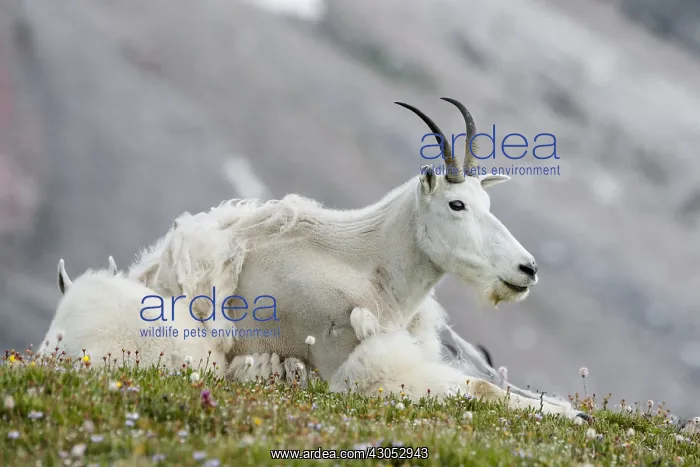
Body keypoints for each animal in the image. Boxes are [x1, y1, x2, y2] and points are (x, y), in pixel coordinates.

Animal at [128, 97, 587, 420]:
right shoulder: (355, 367)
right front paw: (577, 420)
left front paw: (571, 412)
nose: (527, 269)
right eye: (457, 204)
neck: (369, 266)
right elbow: (481, 389)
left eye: (488, 202)